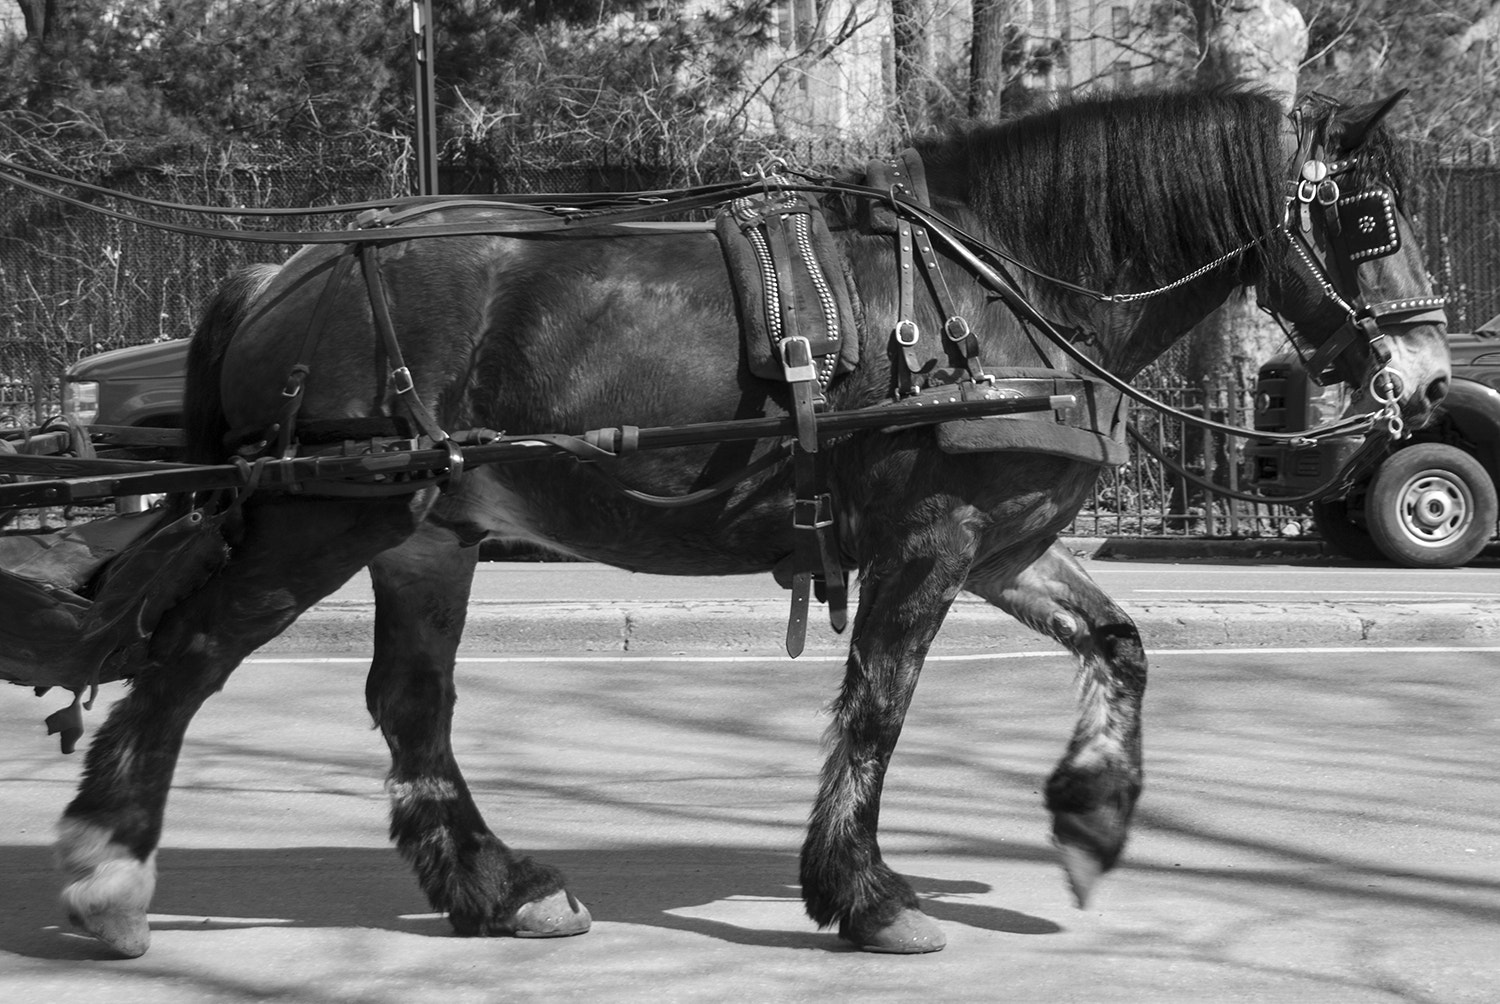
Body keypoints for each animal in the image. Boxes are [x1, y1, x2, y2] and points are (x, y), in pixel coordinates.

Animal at [52, 87, 1450, 957]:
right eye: (1368, 218)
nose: (1434, 380)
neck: (994, 287)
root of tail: (276, 270)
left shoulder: (1001, 542)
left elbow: (1120, 642)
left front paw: (1093, 816)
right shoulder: (929, 541)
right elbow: (878, 709)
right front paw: (866, 895)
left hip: (422, 534)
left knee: (410, 706)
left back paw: (501, 888)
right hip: (313, 522)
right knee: (186, 662)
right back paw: (110, 867)